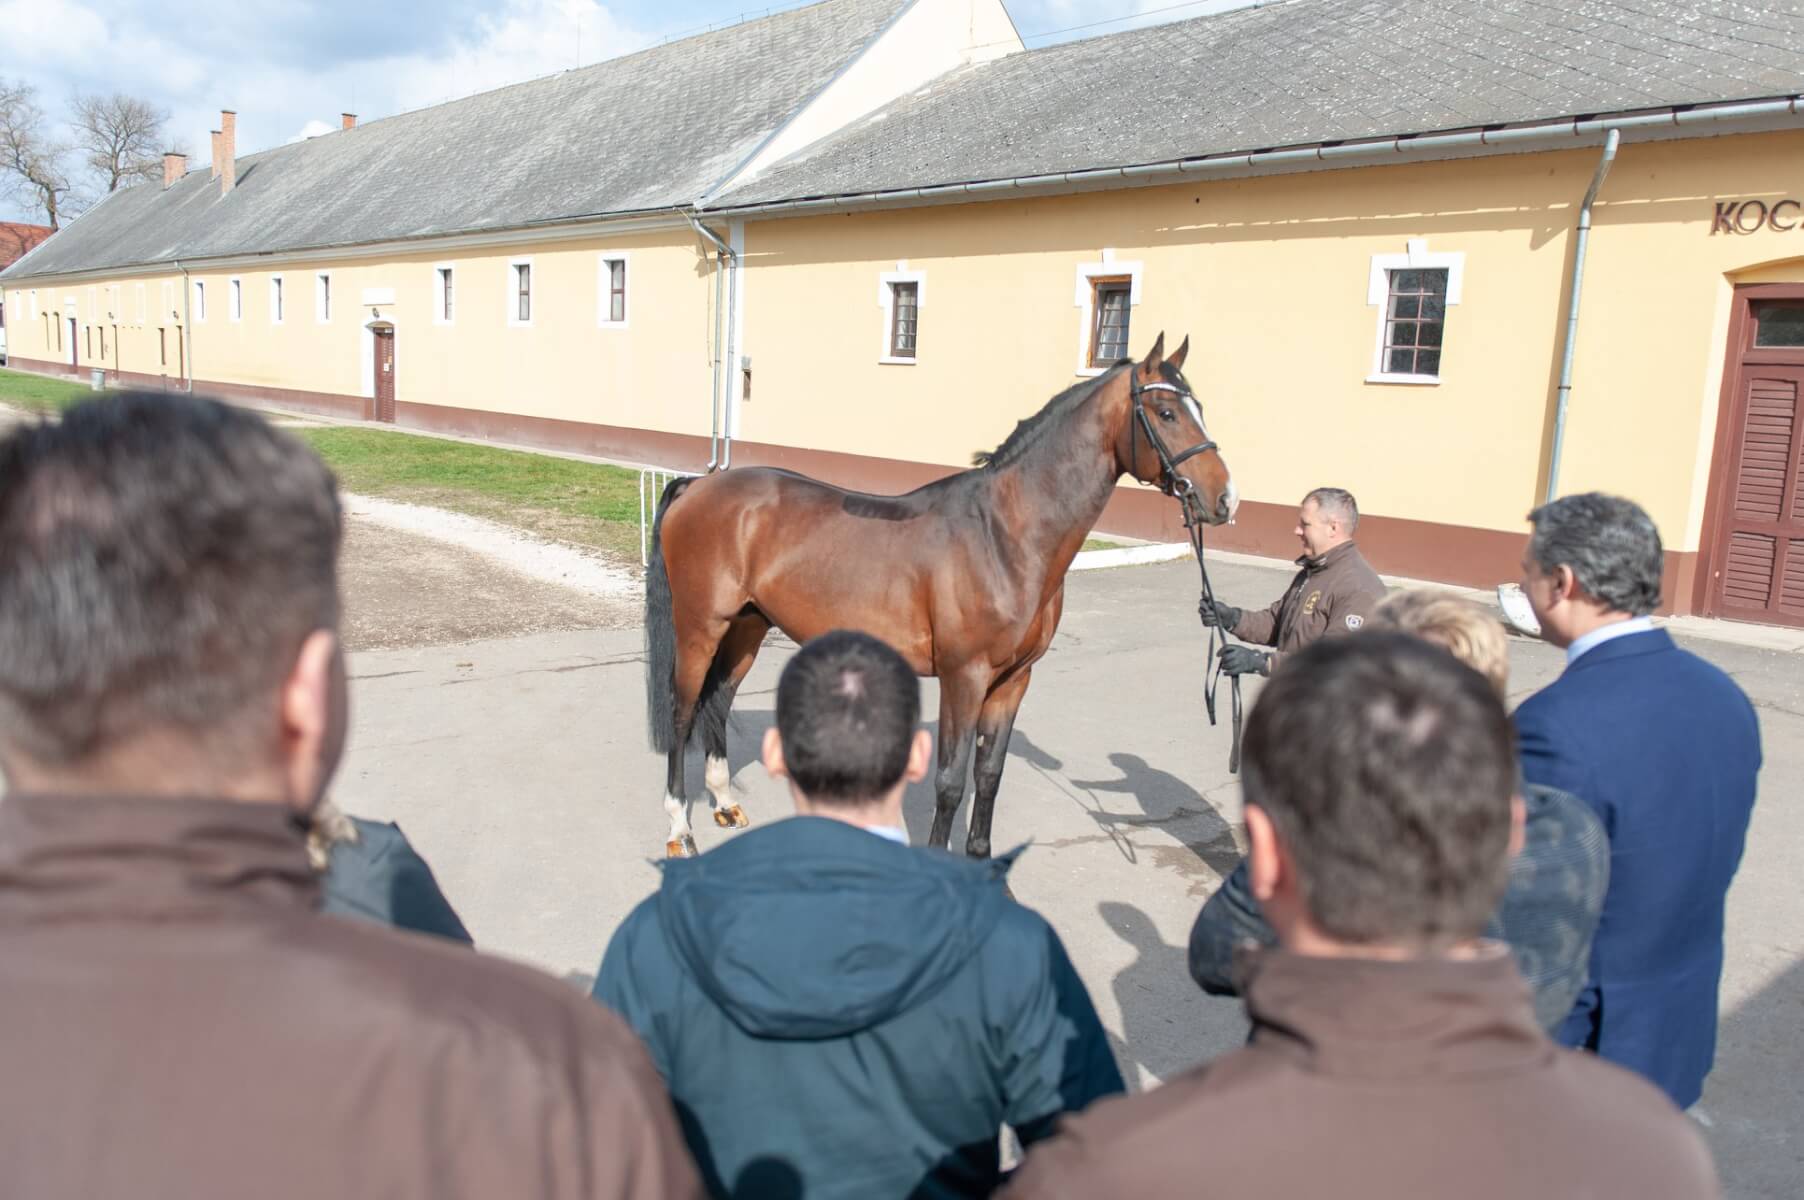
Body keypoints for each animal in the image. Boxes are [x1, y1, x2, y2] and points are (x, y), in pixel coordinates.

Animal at [643, 333, 1235, 858]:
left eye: (1202, 408)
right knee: (683, 710)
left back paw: (723, 804)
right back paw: (680, 829)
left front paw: (981, 858)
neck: (1005, 535)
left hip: (747, 625)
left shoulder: (1013, 681)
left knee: (720, 699)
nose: (1224, 500)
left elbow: (989, 774)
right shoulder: (963, 676)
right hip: (700, 627)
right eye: (1165, 411)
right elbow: (950, 780)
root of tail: (700, 483)